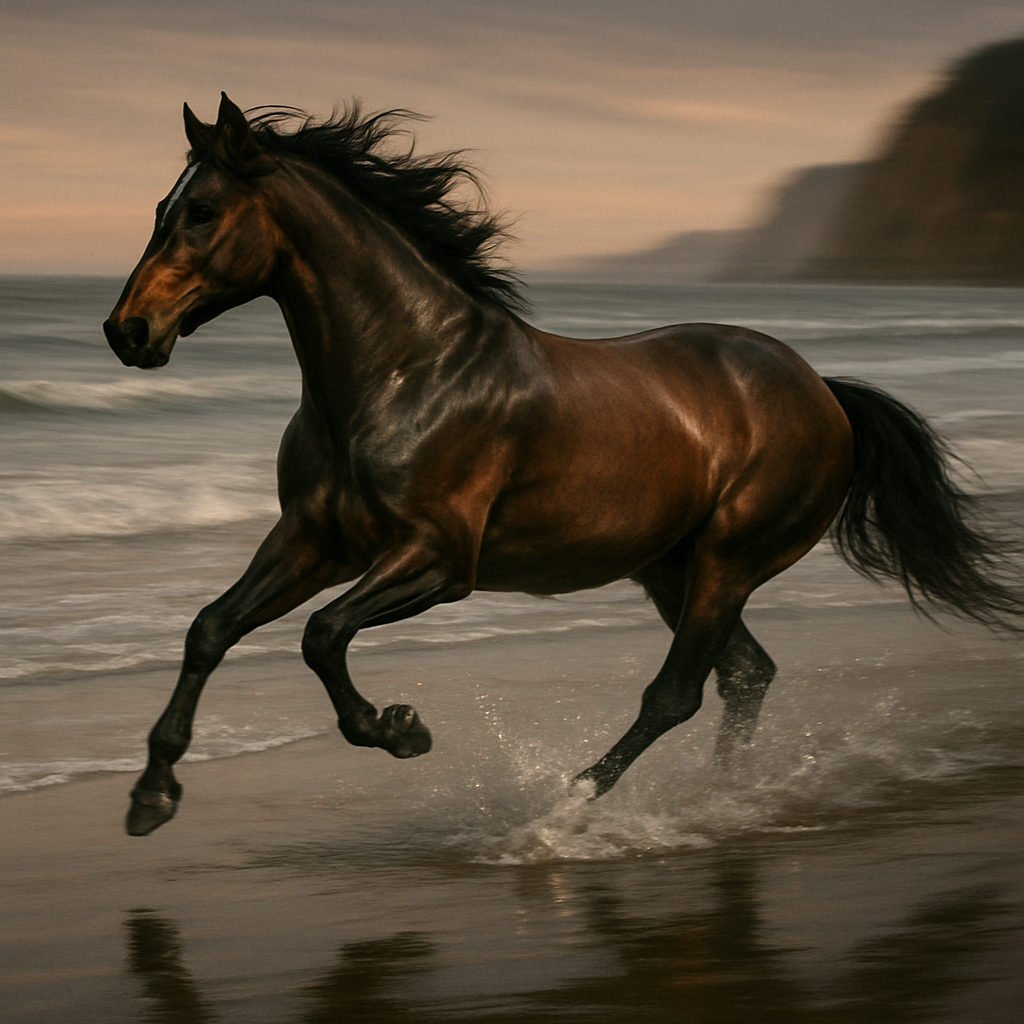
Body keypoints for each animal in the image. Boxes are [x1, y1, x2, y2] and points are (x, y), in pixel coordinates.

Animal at [104, 94, 1022, 836]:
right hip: (671, 566)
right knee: (745, 676)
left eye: (203, 211)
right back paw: (722, 798)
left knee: (679, 692)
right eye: (159, 207)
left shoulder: (438, 561)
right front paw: (151, 797)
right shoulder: (311, 541)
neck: (404, 373)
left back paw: (569, 803)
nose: (127, 331)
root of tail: (823, 390)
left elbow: (322, 635)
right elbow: (211, 628)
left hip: (729, 559)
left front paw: (403, 730)